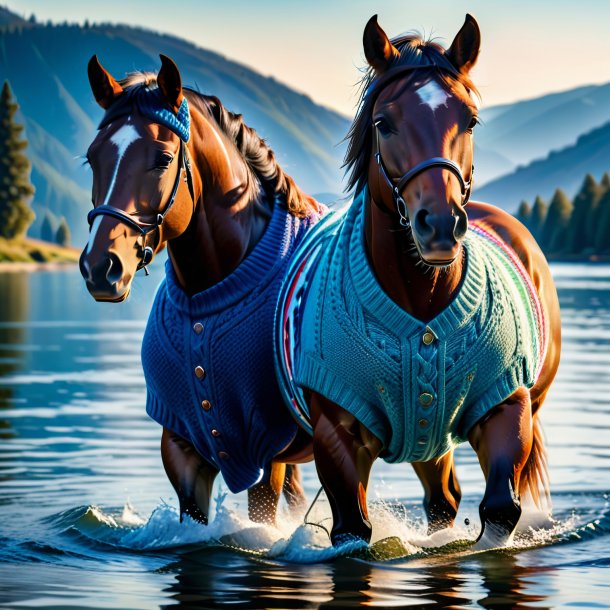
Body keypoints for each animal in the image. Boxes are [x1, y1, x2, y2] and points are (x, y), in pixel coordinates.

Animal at [79, 54, 324, 524]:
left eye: (162, 158)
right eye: (91, 159)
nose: (100, 267)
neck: (210, 293)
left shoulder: (268, 450)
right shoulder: (181, 448)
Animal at [278, 14, 560, 548]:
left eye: (470, 120)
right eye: (383, 123)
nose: (441, 224)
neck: (421, 298)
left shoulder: (507, 409)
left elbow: (500, 511)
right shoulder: (336, 438)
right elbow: (352, 527)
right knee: (441, 500)